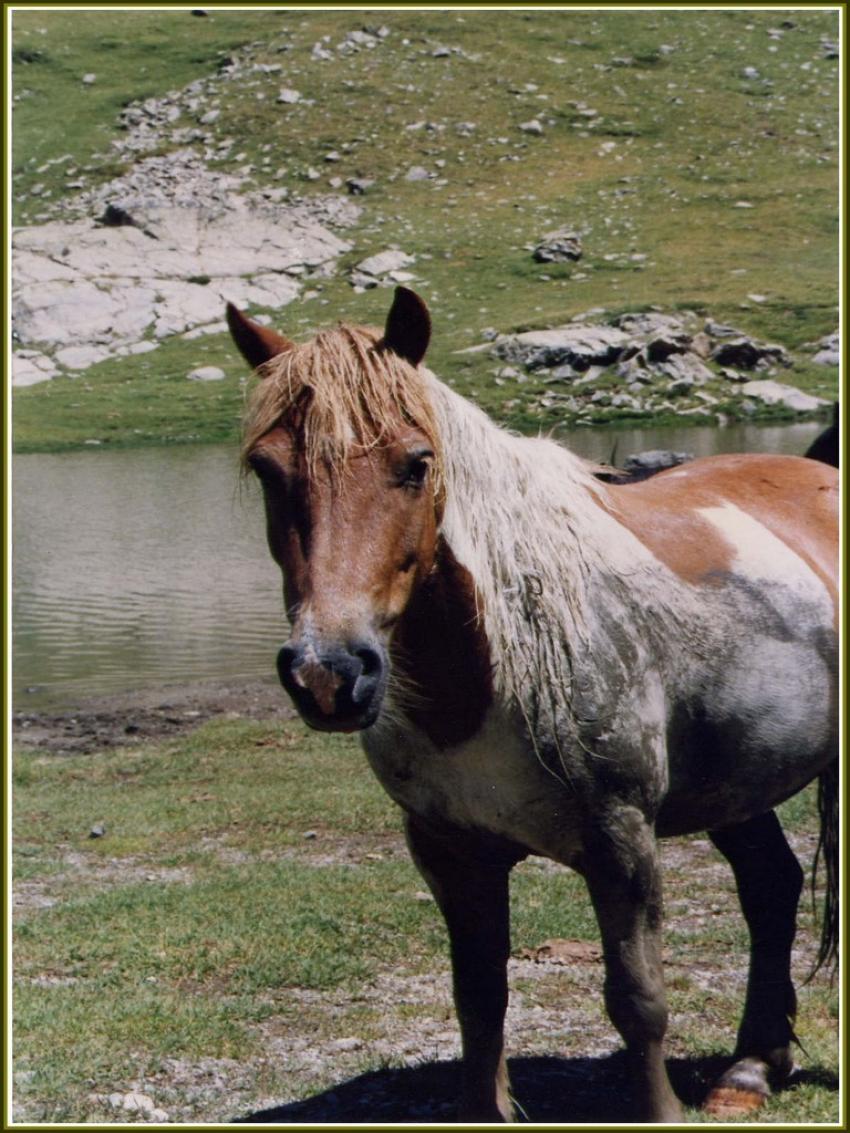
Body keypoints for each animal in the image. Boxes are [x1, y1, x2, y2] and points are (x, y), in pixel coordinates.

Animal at [227, 287, 838, 1123]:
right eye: (267, 469)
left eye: (416, 464)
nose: (329, 672)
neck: (496, 659)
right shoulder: (451, 850)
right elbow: (480, 999)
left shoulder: (621, 838)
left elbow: (638, 999)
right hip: (738, 782)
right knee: (770, 887)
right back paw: (749, 1069)